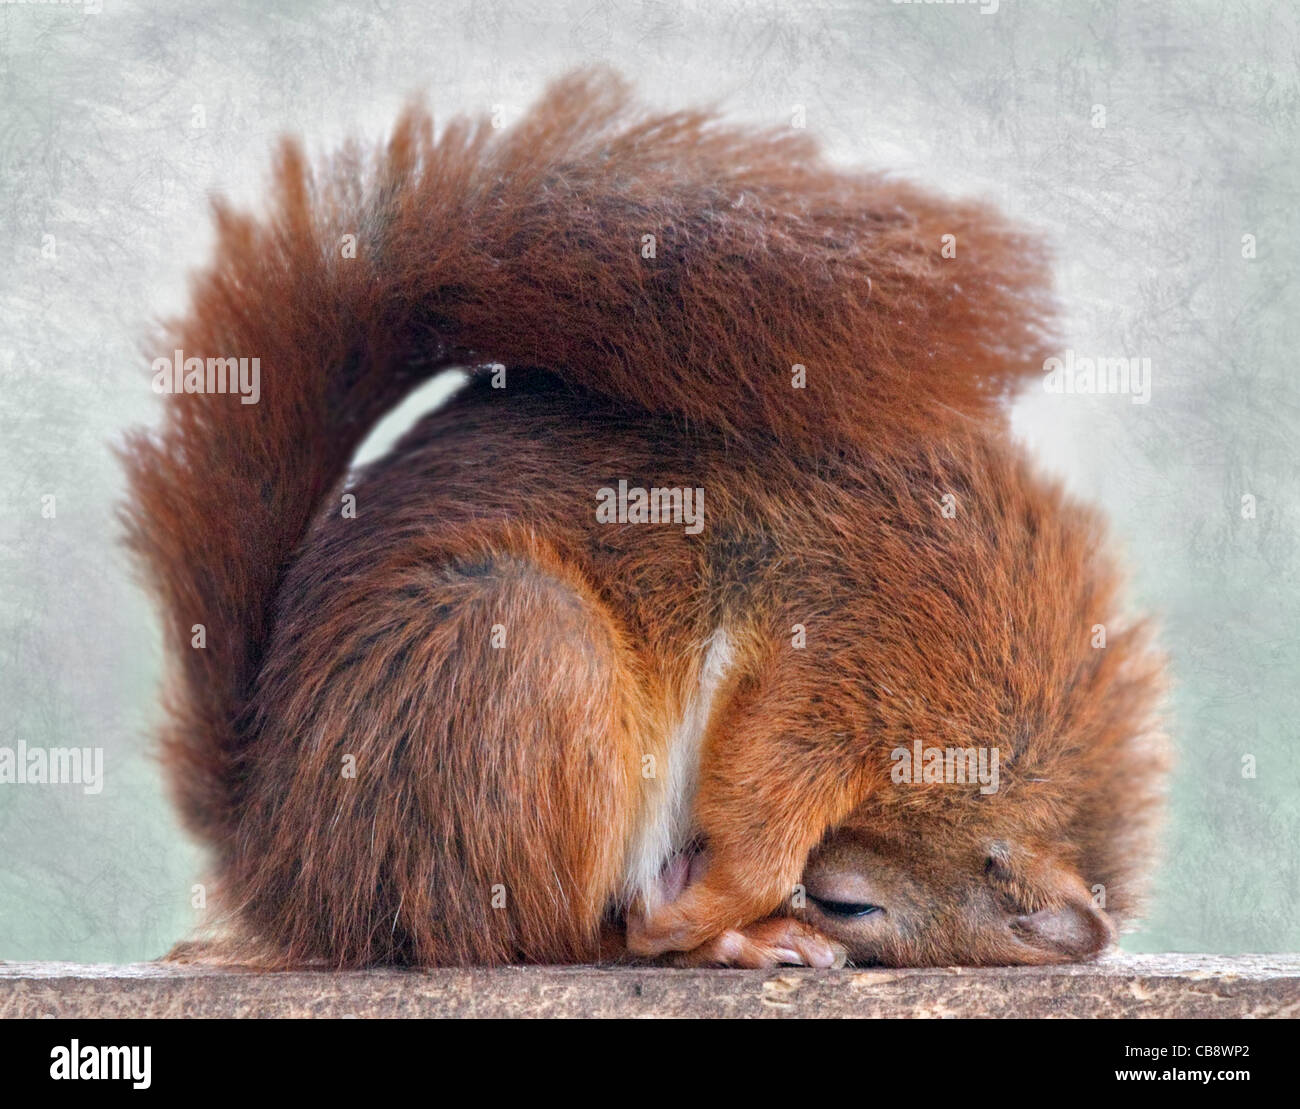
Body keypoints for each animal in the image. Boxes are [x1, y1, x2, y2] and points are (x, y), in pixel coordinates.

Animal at [124, 69, 1170, 967]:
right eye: (848, 903)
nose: (816, 902)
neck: (1008, 721)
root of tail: (280, 864)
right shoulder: (855, 653)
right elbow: (766, 784)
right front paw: (726, 900)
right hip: (517, 656)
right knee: (549, 938)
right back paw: (714, 935)